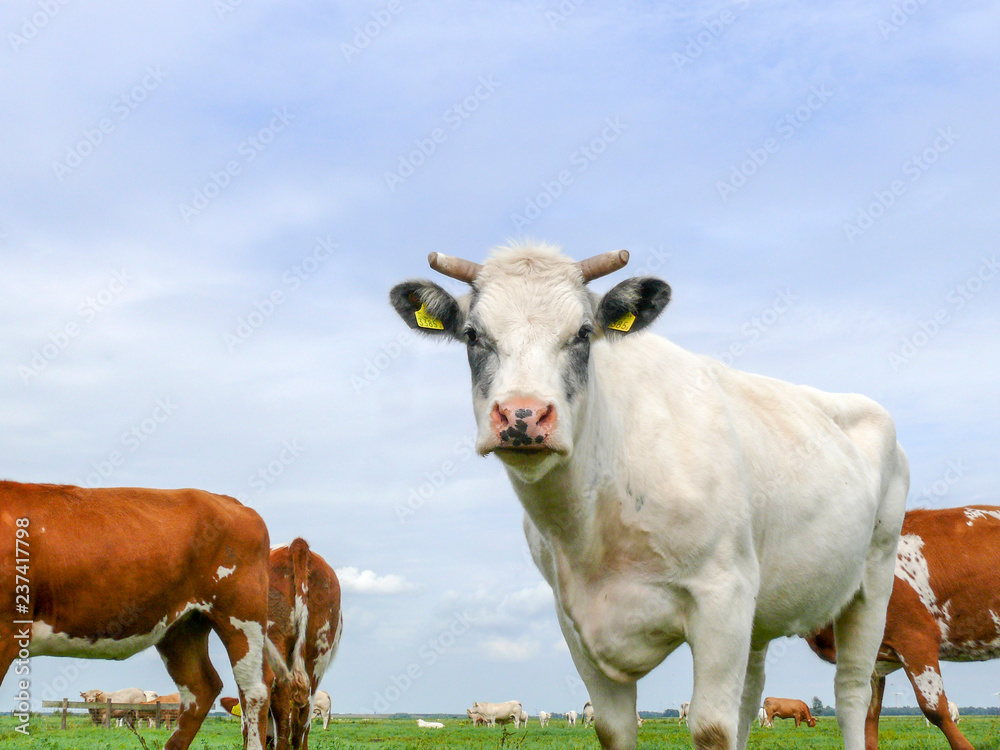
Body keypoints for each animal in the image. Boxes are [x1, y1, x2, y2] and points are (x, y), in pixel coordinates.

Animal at [0, 482, 274, 750]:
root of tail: (230, 501)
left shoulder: (6, 630)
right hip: (182, 626)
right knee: (200, 688)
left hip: (241, 613)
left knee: (254, 687)